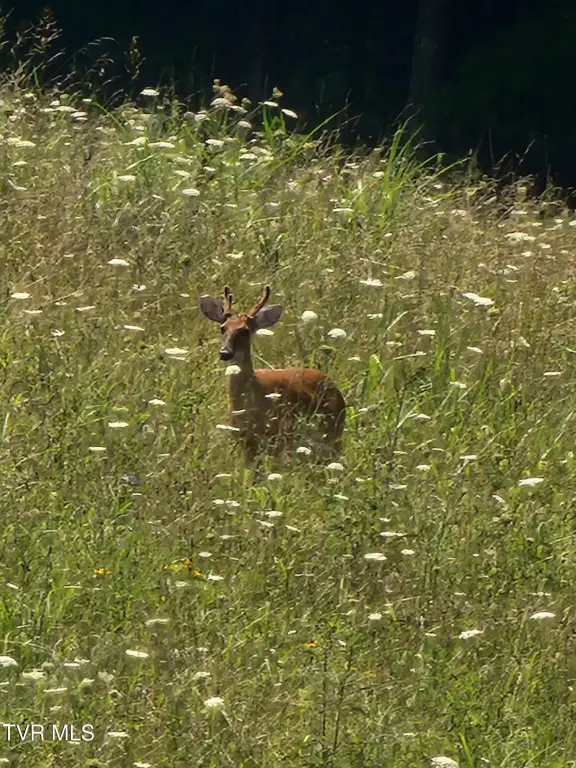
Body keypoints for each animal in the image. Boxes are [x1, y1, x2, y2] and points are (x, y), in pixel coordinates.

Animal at [199, 285, 346, 462]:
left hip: (333, 433)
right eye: (223, 328)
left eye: (245, 331)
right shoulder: (243, 440)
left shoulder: (274, 436)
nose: (225, 352)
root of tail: (334, 386)